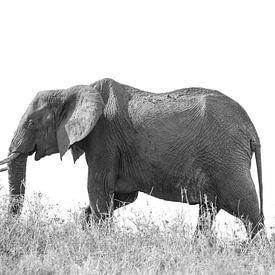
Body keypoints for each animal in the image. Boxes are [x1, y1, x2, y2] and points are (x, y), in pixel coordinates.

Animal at [0, 78, 266, 239]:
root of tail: (251, 128)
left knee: (249, 210)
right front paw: (86, 229)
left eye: (31, 123)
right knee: (208, 209)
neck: (73, 89)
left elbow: (98, 190)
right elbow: (122, 196)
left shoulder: (104, 138)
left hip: (227, 158)